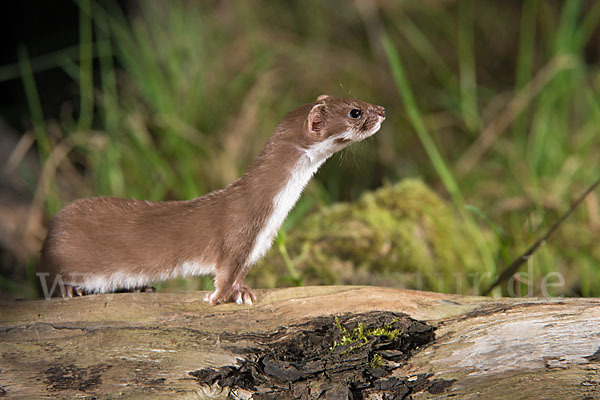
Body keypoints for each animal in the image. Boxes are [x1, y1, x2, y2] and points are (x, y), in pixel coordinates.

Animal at [38, 95, 384, 304]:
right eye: (355, 112)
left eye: (357, 100)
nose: (382, 110)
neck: (273, 213)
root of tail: (50, 230)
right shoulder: (236, 235)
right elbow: (226, 272)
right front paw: (216, 298)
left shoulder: (256, 247)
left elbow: (240, 275)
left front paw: (243, 293)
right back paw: (72, 289)